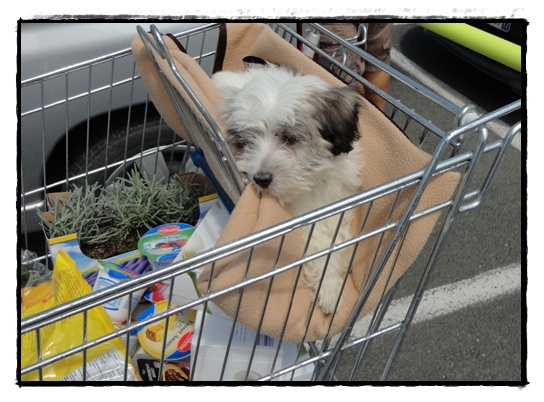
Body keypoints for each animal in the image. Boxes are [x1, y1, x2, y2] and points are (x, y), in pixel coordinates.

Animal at [212, 66, 363, 314]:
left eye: (289, 138)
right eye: (245, 143)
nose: (260, 179)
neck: (310, 182)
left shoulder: (336, 196)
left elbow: (335, 231)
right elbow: (317, 243)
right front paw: (329, 287)